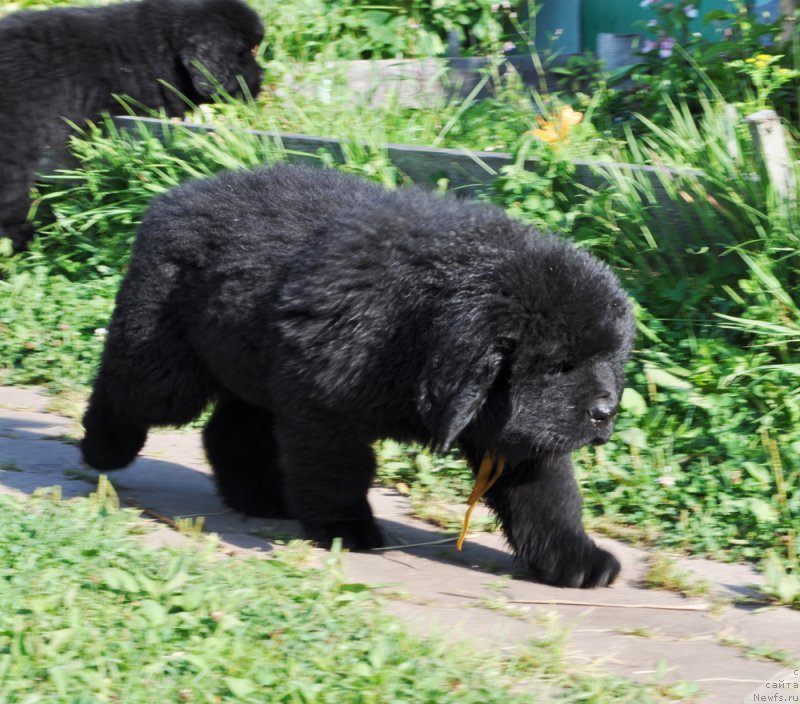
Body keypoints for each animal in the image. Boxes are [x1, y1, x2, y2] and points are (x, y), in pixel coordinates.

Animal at [83, 165, 636, 588]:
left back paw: (260, 498)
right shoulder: (327, 411)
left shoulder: (519, 437)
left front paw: (578, 561)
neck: (423, 324)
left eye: (609, 358)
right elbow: (338, 474)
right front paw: (346, 531)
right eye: (559, 365)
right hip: (168, 363)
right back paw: (101, 450)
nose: (605, 411)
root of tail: (175, 195)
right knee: (127, 389)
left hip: (257, 367)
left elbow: (548, 501)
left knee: (230, 432)